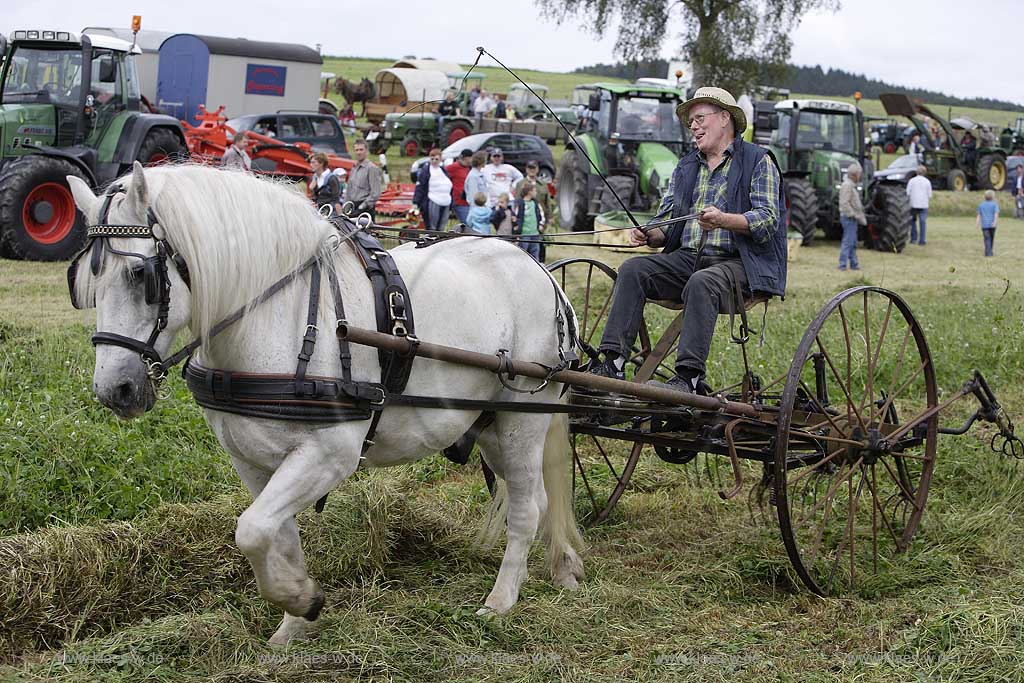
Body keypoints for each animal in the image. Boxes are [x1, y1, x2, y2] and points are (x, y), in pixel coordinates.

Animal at [68, 162, 585, 643]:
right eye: (85, 281)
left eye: (139, 274)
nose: (115, 389)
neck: (278, 313)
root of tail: (541, 272)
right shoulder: (251, 462)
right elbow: (275, 534)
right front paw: (293, 621)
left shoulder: (331, 453)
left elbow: (251, 529)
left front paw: (301, 599)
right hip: (491, 426)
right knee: (535, 496)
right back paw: (561, 566)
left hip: (521, 420)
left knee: (526, 508)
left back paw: (500, 600)